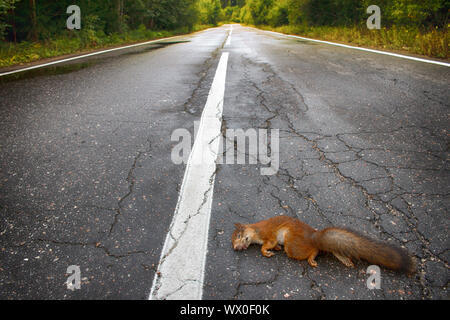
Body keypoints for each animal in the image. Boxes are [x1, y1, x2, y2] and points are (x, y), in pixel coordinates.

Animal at [234, 215, 416, 272]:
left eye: (239, 235)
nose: (236, 248)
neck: (255, 230)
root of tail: (313, 237)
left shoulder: (267, 233)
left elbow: (267, 244)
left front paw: (266, 251)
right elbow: (274, 245)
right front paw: (276, 248)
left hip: (292, 245)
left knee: (313, 250)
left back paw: (311, 258)